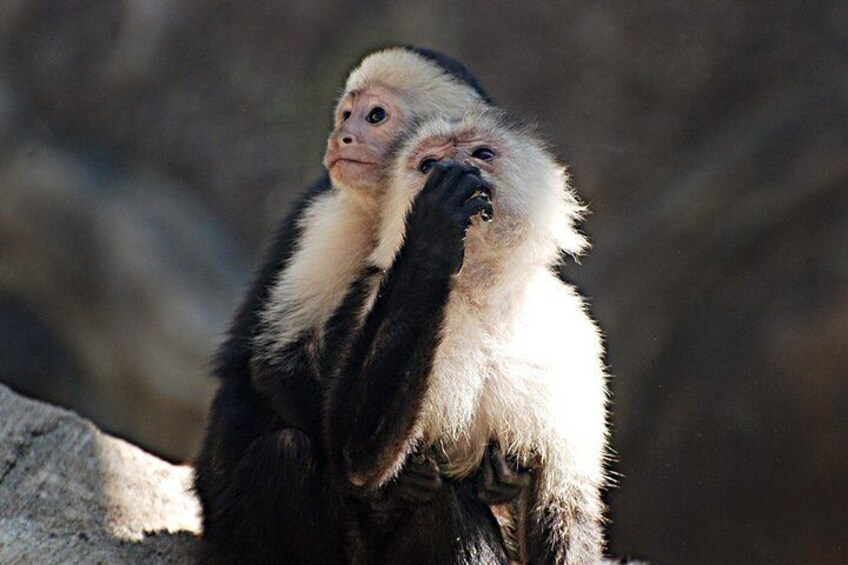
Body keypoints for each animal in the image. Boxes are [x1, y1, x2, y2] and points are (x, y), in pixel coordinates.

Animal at [322, 107, 608, 564]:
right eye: (427, 164)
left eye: (483, 153)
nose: (456, 167)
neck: (479, 293)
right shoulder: (366, 294)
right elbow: (355, 458)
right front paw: (432, 234)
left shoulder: (572, 330)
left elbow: (565, 502)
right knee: (443, 504)